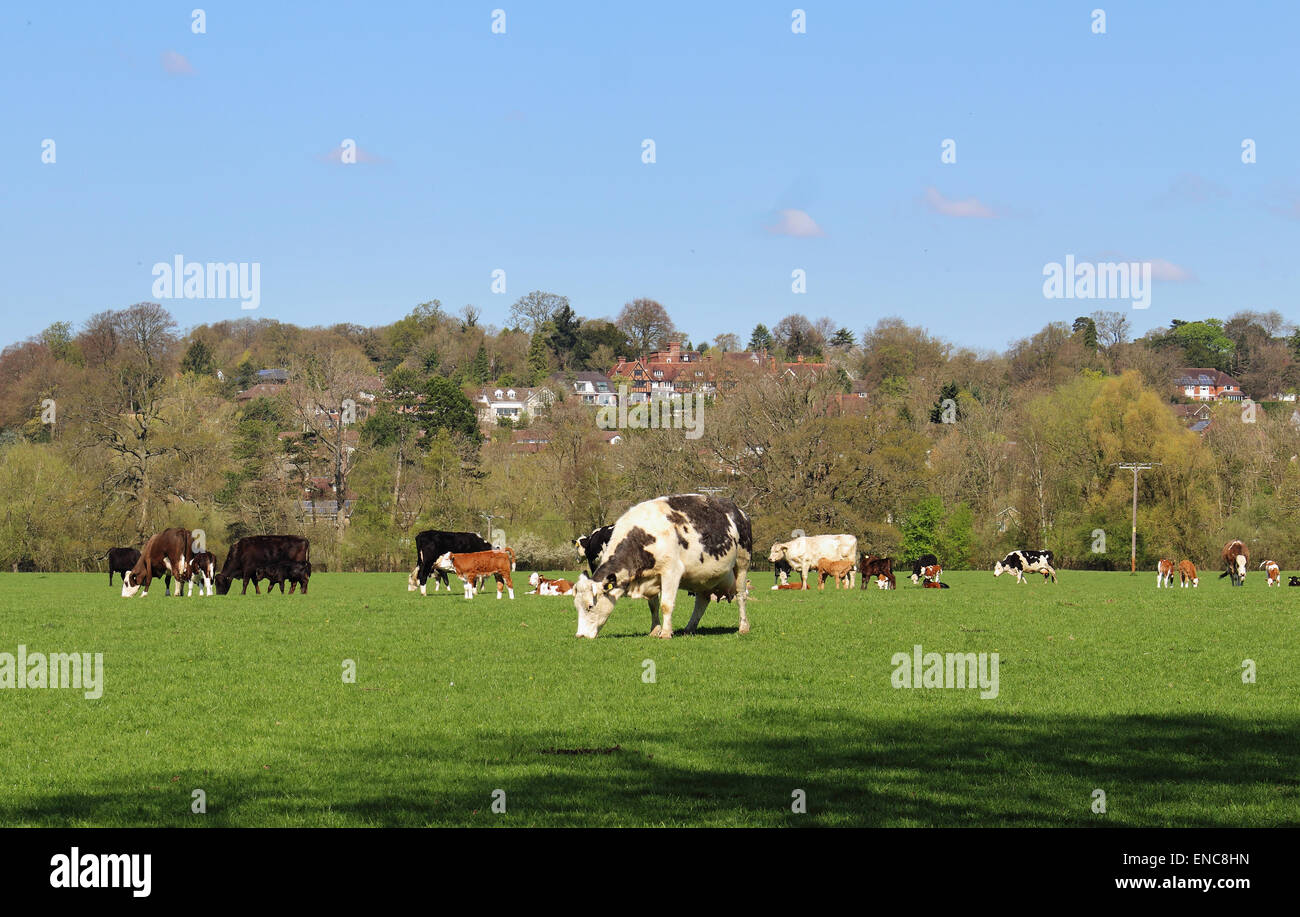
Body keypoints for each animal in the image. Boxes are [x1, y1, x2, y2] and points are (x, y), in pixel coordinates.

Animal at [577, 494, 759, 637]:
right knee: (702, 600)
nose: (580, 636)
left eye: (590, 606)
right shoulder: (650, 577)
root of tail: (740, 512)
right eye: (576, 606)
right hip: (704, 576)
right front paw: (654, 630)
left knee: (741, 595)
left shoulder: (671, 572)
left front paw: (665, 633)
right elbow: (653, 606)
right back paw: (689, 628)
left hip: (742, 563)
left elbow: (666, 604)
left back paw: (743, 627)